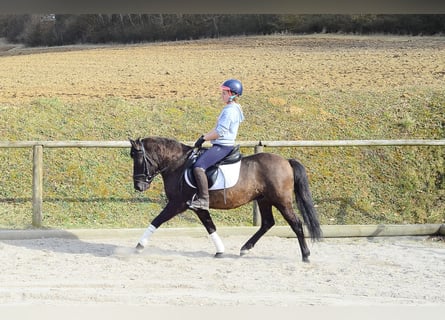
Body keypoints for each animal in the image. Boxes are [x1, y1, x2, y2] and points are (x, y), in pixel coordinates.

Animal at [130, 136, 320, 262]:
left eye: (137, 158)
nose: (138, 186)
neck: (178, 165)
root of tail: (286, 162)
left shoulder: (177, 203)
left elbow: (157, 220)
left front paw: (139, 246)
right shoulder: (198, 207)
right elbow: (210, 226)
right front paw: (220, 251)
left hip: (281, 201)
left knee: (296, 223)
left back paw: (306, 255)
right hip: (264, 200)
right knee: (267, 223)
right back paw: (245, 249)